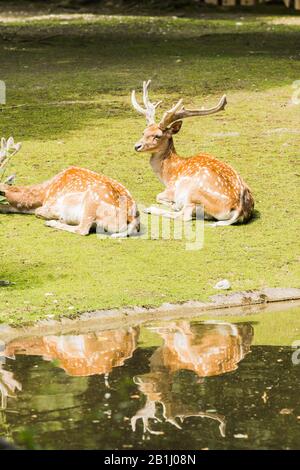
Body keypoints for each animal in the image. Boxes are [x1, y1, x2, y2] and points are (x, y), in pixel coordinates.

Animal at [131, 80, 253, 226]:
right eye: (143, 132)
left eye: (158, 136)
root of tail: (239, 209)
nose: (137, 146)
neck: (168, 174)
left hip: (193, 193)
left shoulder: (172, 189)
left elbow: (158, 196)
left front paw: (171, 204)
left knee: (184, 216)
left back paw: (152, 209)